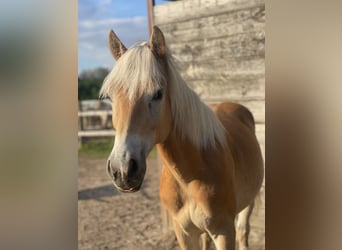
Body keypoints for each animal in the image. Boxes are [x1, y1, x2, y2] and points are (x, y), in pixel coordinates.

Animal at [100, 26, 264, 249]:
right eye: (109, 97)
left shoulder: (224, 231)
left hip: (249, 203)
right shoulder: (184, 232)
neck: (192, 175)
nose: (122, 170)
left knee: (243, 231)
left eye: (158, 93)